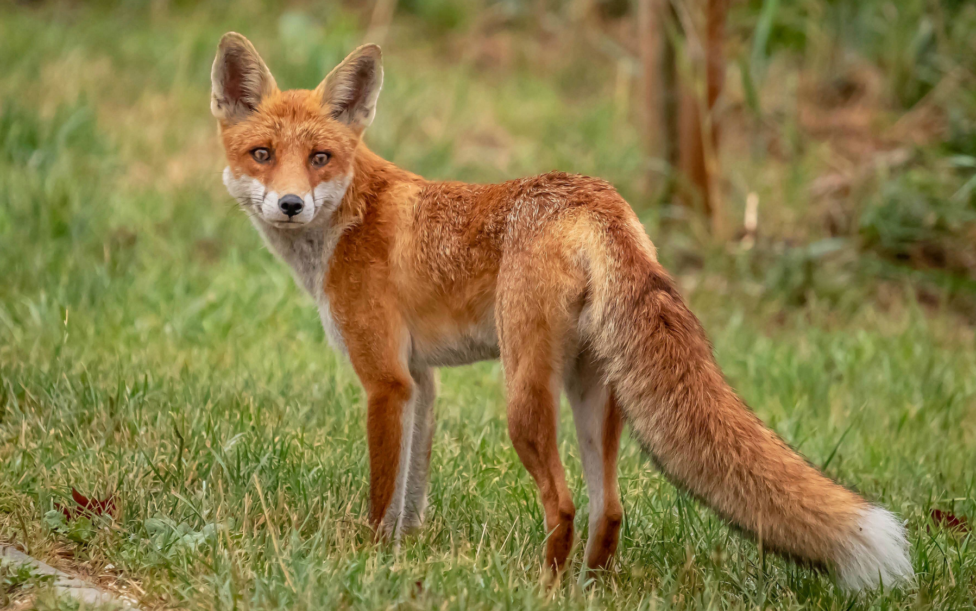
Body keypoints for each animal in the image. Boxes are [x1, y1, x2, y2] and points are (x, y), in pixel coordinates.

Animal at [211, 33, 913, 590]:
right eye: (262, 155)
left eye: (320, 158)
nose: (292, 205)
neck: (349, 219)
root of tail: (596, 197)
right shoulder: (421, 381)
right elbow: (412, 492)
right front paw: (403, 557)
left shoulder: (386, 380)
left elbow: (384, 494)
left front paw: (370, 560)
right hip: (593, 394)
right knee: (610, 509)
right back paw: (591, 587)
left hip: (524, 398)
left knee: (566, 505)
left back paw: (542, 585)